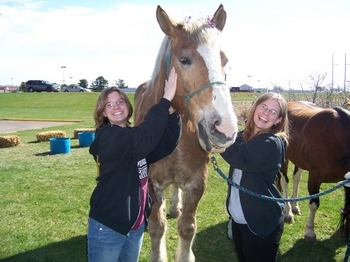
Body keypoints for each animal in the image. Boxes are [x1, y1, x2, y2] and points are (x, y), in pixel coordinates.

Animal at [134, 4, 238, 262]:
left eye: (224, 59)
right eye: (184, 60)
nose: (225, 129)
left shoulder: (197, 182)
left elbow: (187, 227)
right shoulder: (153, 183)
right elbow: (157, 226)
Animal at [280, 100, 350, 242]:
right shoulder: (314, 178)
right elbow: (314, 204)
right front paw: (310, 232)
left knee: (296, 179)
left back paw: (295, 206)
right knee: (285, 182)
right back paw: (288, 212)